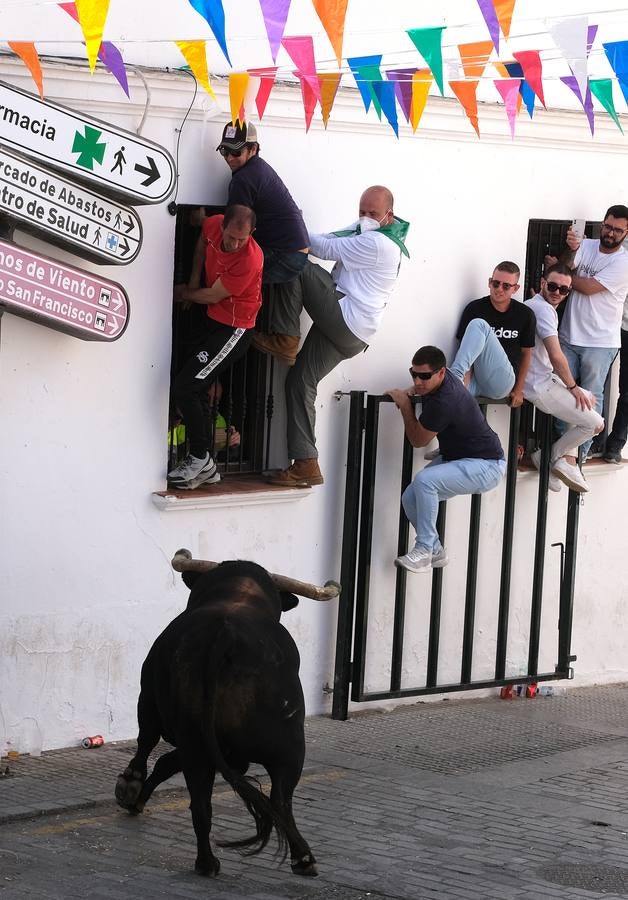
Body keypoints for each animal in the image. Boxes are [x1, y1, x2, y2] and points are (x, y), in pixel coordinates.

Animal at [115, 560, 316, 876]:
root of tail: (225, 636)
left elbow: (156, 753)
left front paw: (134, 792)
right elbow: (155, 751)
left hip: (196, 740)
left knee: (200, 803)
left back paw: (206, 862)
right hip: (287, 747)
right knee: (280, 799)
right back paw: (302, 857)